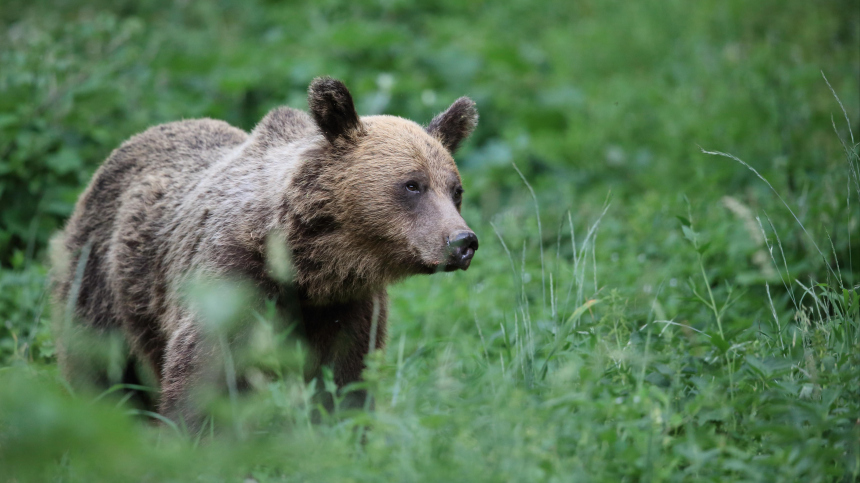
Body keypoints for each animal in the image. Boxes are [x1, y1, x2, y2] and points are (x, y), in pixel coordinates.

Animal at [51, 77, 478, 430]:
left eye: (455, 189)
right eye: (412, 185)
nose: (462, 242)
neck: (308, 267)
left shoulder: (347, 306)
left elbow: (343, 378)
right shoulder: (231, 277)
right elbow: (204, 371)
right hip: (104, 275)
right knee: (100, 364)